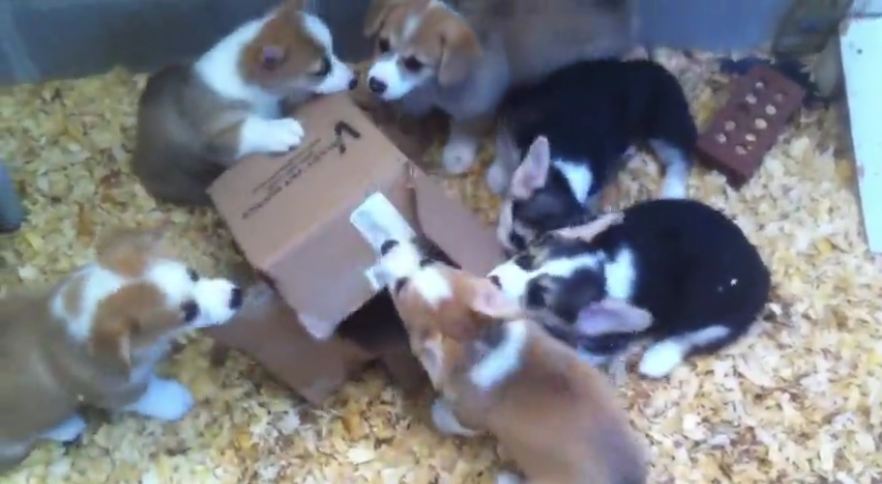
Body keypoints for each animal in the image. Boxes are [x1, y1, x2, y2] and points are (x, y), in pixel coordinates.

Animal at [0, 227, 241, 472]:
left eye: (193, 274)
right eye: (190, 312)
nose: (237, 296)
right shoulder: (119, 391)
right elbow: (150, 394)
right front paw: (177, 400)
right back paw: (68, 426)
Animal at [488, 198, 768, 378]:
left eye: (538, 298)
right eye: (526, 259)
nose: (493, 281)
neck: (604, 268)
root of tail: (762, 271)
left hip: (715, 317)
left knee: (693, 337)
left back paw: (656, 359)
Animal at [492, 59, 696, 253]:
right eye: (515, 237)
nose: (509, 253)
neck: (565, 172)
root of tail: (650, 66)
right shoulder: (513, 130)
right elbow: (505, 159)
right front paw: (498, 177)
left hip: (666, 122)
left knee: (680, 156)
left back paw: (672, 190)